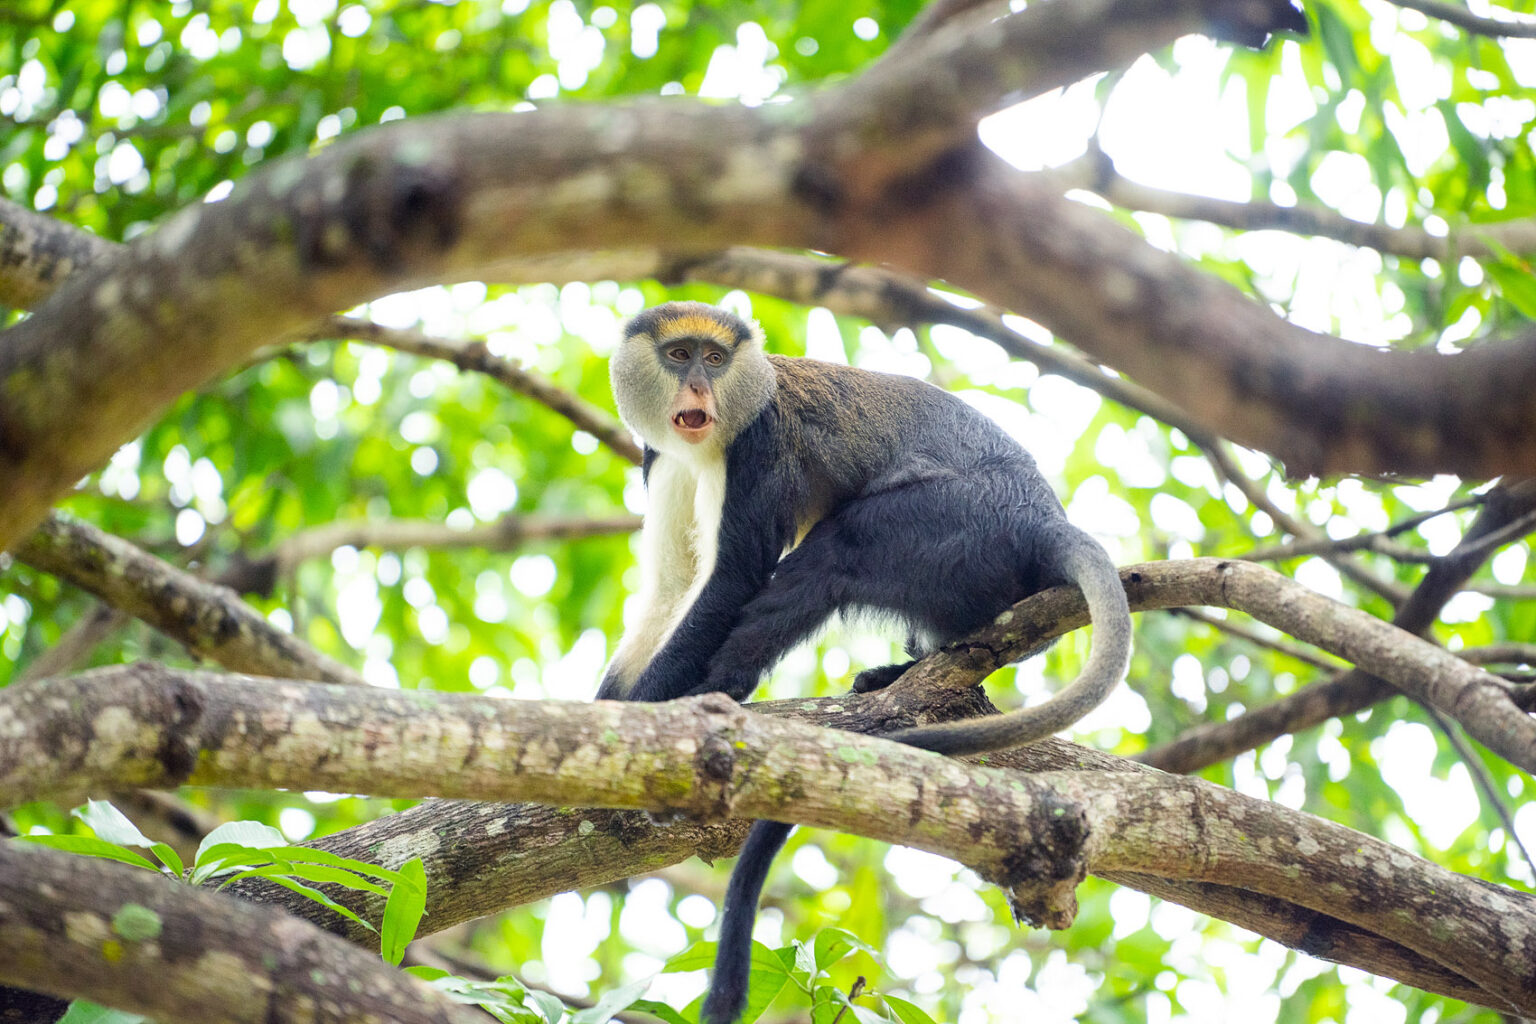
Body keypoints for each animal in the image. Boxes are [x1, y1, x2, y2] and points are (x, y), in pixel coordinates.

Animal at [592, 300, 1136, 1019]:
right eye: (679, 356)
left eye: (715, 359)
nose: (700, 389)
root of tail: (1042, 519)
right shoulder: (661, 457)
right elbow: (671, 586)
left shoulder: (761, 446)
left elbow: (731, 578)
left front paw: (652, 716)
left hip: (951, 521)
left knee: (836, 550)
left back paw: (727, 689)